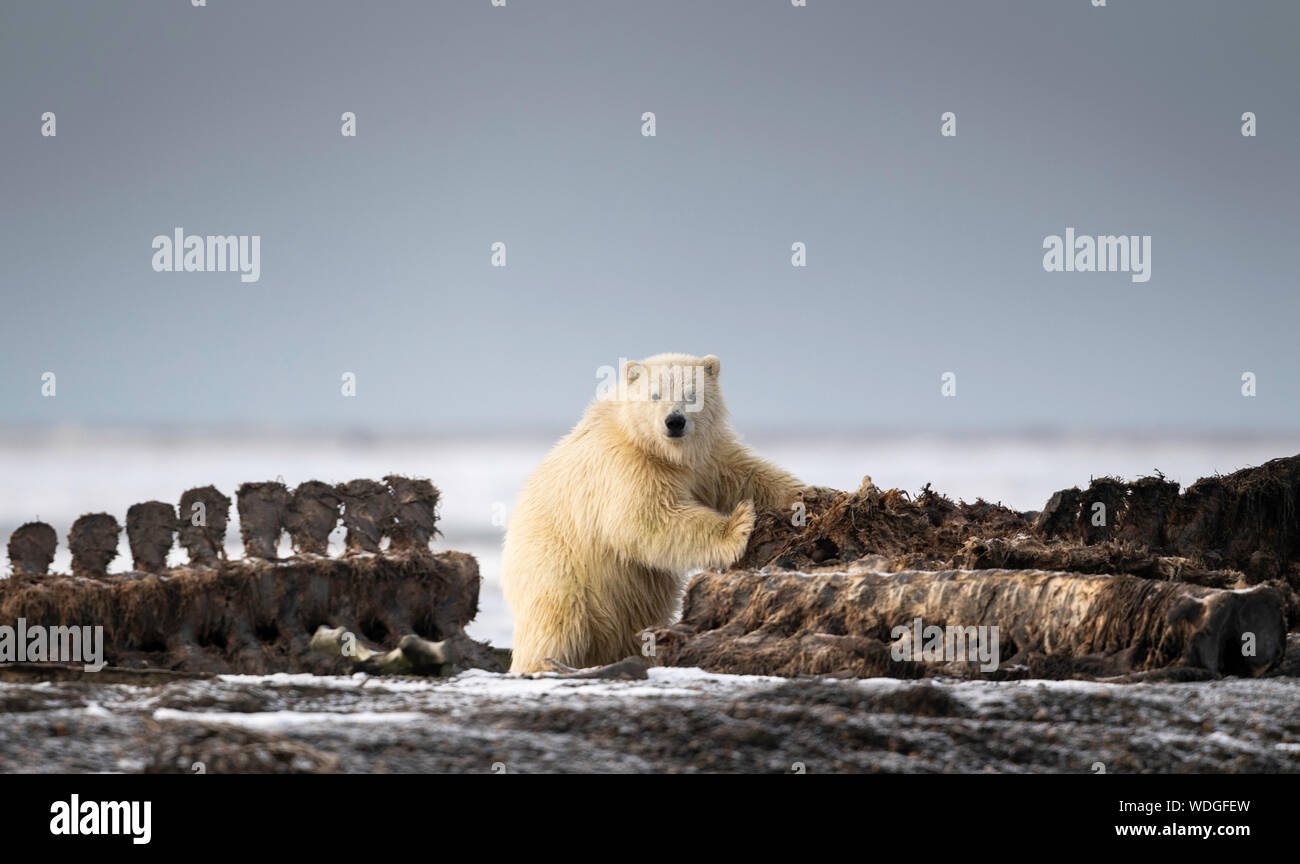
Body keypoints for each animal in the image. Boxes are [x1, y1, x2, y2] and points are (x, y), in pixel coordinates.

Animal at [501, 353, 806, 673]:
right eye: (655, 395)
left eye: (691, 394)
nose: (675, 421)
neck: (661, 452)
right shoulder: (626, 466)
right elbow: (646, 519)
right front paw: (738, 524)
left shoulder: (707, 458)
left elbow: (746, 474)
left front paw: (805, 497)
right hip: (558, 569)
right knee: (558, 622)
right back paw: (544, 664)